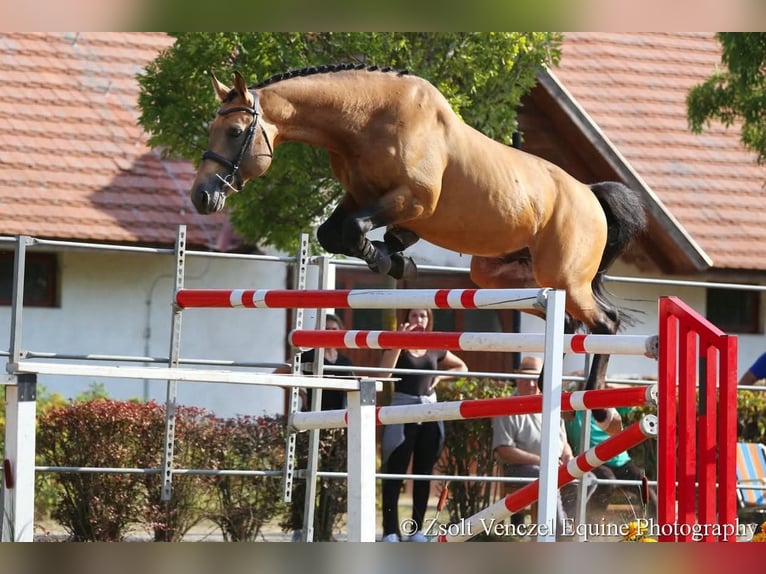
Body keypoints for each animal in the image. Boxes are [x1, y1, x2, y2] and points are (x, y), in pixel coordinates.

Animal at [190, 64, 647, 406]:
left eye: (234, 133)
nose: (201, 196)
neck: (366, 119)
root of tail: (590, 194)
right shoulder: (359, 197)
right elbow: (332, 232)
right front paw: (396, 256)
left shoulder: (413, 201)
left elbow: (353, 230)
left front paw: (390, 256)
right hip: (504, 276)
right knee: (565, 319)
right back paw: (545, 387)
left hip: (566, 278)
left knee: (605, 322)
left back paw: (593, 398)